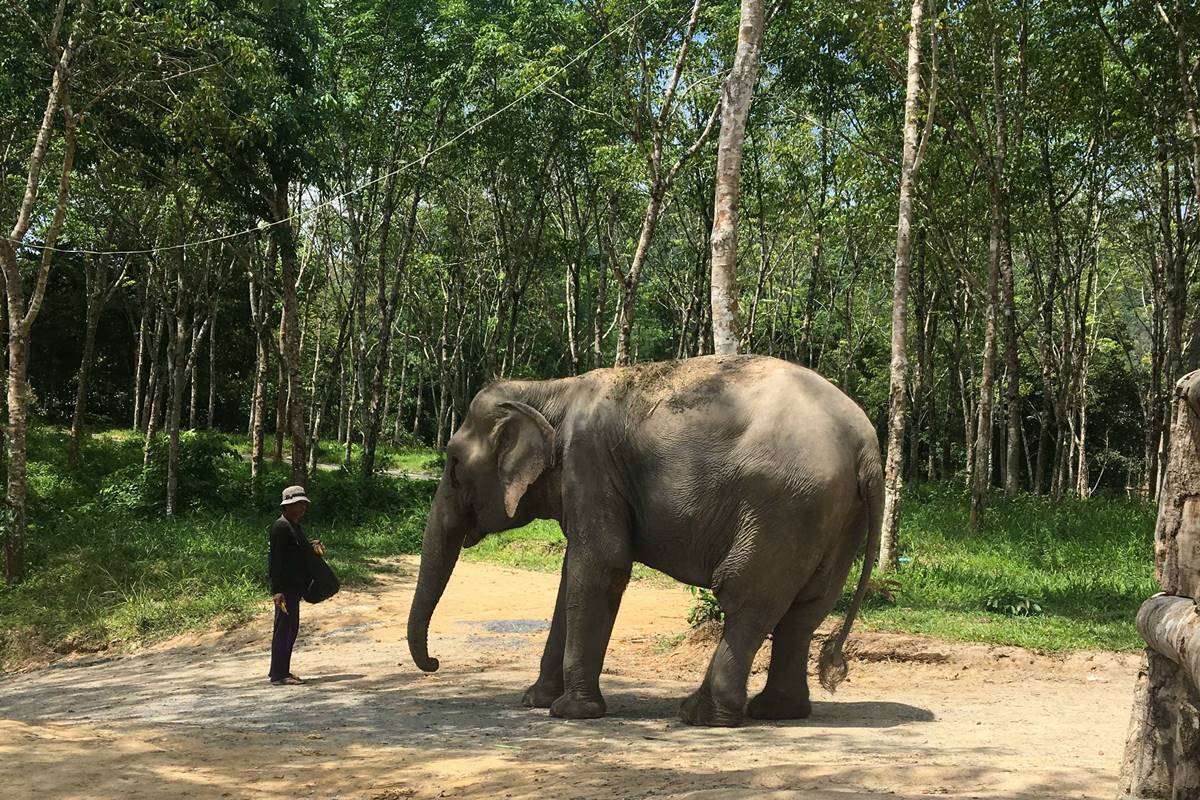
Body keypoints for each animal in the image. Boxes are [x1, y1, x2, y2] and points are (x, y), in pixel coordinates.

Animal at [408, 352, 888, 729]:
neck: (550, 390)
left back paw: (699, 715)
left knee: (746, 600)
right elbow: (573, 573)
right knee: (805, 611)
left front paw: (570, 712)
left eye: (453, 465)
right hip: (838, 517)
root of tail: (867, 447)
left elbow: (600, 566)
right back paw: (776, 711)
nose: (434, 664)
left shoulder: (590, 462)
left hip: (783, 508)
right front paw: (535, 700)